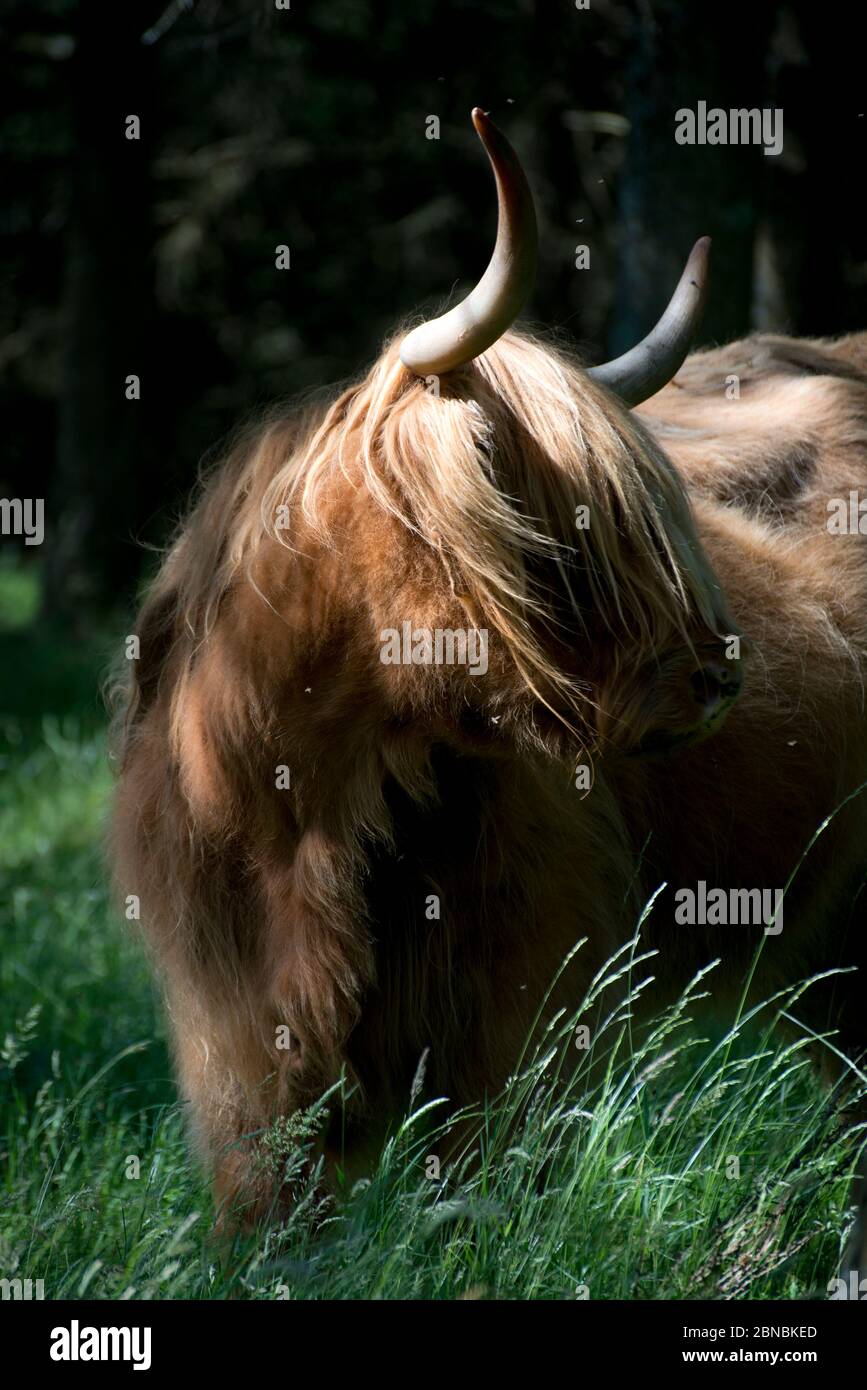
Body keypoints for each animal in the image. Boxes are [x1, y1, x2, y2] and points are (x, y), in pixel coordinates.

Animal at [112, 111, 867, 1263]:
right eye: (554, 529)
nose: (718, 675)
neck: (306, 794)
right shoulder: (231, 1032)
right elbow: (268, 1204)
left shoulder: (516, 998)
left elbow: (482, 1188)